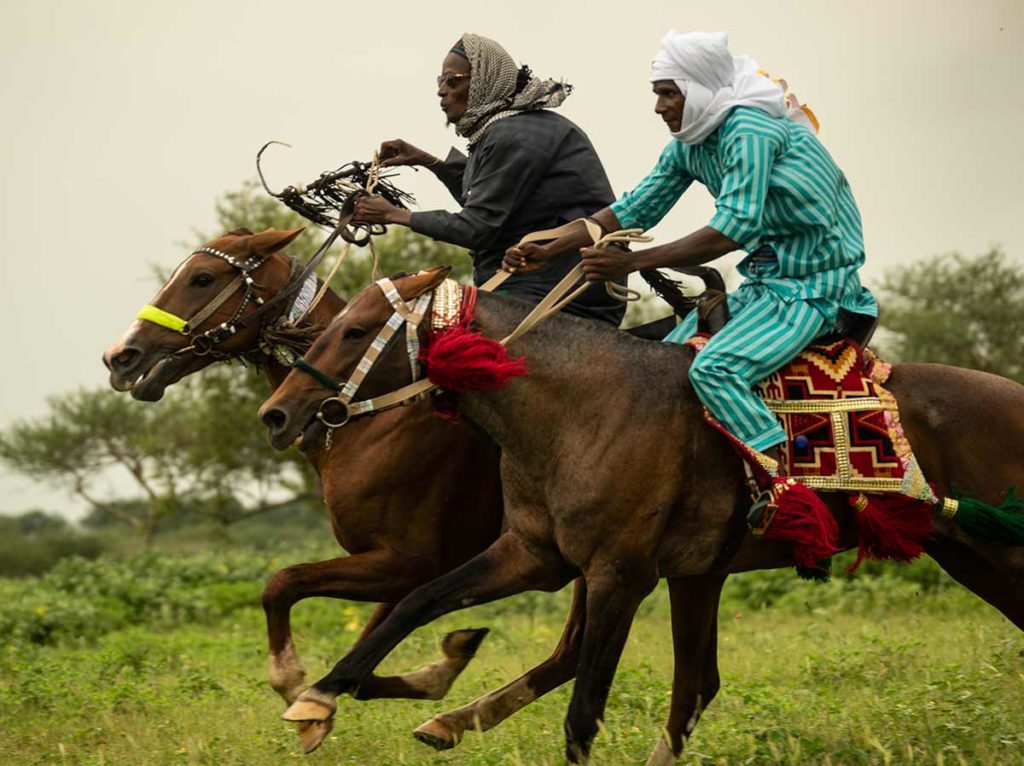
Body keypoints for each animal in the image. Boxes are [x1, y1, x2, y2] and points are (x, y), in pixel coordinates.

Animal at [260, 268, 1024, 761]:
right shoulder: (533, 555)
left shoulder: (618, 576)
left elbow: (583, 713)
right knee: (694, 690)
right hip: (942, 558)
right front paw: (317, 699)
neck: (583, 406)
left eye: (356, 331)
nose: (277, 414)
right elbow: (418, 603)